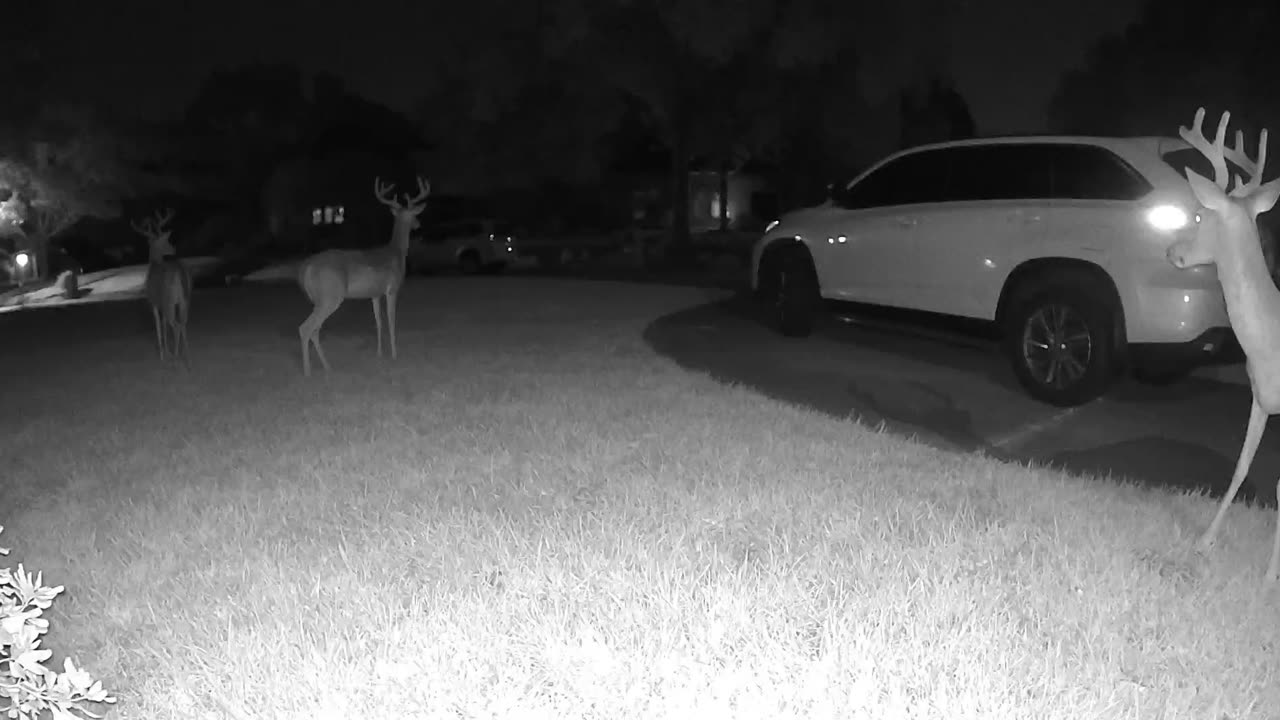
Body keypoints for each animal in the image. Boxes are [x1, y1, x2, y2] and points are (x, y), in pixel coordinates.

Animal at [130, 206, 192, 363]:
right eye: (167, 241)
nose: (174, 248)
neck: (154, 263)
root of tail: (178, 274)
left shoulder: (154, 302)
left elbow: (158, 326)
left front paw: (163, 355)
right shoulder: (162, 304)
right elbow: (163, 325)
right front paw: (167, 352)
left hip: (169, 300)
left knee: (176, 325)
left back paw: (176, 358)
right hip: (184, 300)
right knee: (183, 323)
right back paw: (186, 355)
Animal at [295, 174, 430, 376]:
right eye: (414, 214)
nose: (418, 224)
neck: (397, 252)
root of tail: (306, 267)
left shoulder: (375, 294)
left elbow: (378, 322)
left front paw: (379, 354)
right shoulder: (392, 289)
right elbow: (391, 321)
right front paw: (394, 355)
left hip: (320, 300)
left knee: (315, 330)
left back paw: (327, 367)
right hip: (331, 296)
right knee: (306, 328)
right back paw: (308, 372)